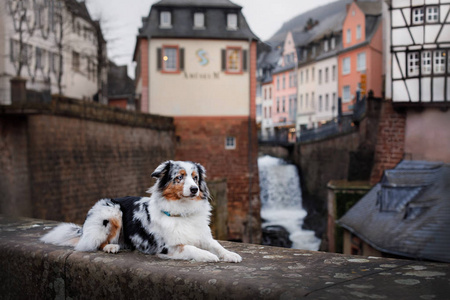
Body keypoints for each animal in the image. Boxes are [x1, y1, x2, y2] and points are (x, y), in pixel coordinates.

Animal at [41, 159, 243, 262]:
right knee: (92, 243)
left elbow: (217, 245)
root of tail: (84, 227)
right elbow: (192, 248)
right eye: (179, 177)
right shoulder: (167, 247)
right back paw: (111, 246)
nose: (194, 189)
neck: (182, 211)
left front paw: (230, 255)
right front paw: (209, 256)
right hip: (112, 212)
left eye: (195, 178)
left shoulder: (203, 236)